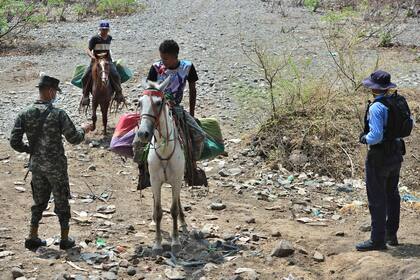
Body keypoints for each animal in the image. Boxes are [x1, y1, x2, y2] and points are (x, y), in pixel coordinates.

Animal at [137, 77, 186, 254]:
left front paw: (176, 241)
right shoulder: (155, 181)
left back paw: (183, 220)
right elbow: (159, 212)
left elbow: (173, 209)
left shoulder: (177, 180)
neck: (164, 151)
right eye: (139, 103)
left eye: (159, 103)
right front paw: (157, 244)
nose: (143, 133)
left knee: (177, 200)